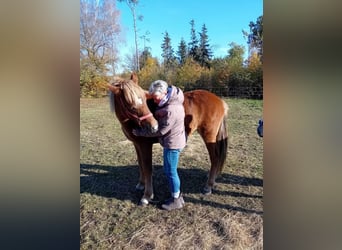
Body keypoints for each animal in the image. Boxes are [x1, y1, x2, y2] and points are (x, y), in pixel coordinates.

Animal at [108, 72, 228, 205]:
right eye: (131, 106)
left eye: (144, 99)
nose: (154, 126)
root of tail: (219, 100)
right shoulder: (137, 144)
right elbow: (140, 164)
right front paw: (141, 184)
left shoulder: (145, 145)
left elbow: (147, 168)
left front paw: (147, 196)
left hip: (209, 136)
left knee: (215, 158)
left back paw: (208, 186)